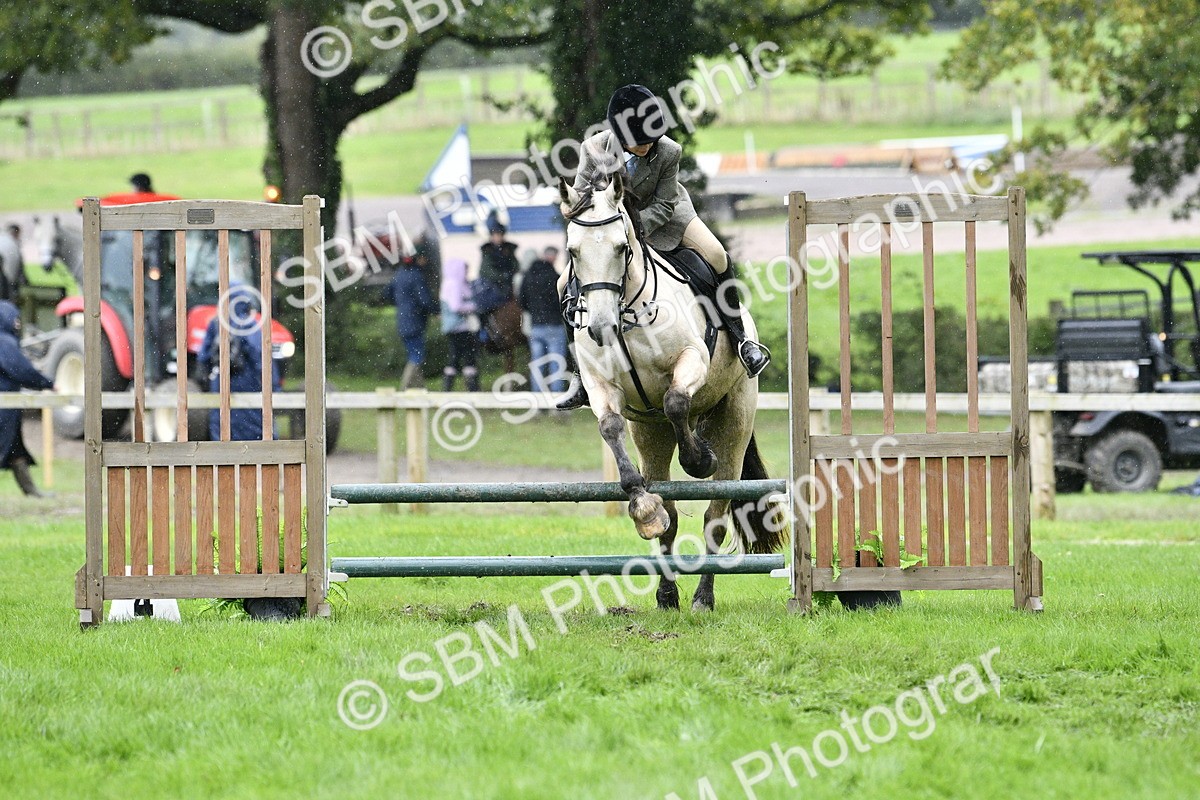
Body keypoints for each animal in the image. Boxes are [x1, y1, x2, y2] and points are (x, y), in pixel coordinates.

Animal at [559, 175, 786, 612]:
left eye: (621, 247)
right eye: (573, 252)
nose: (600, 327)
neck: (627, 311)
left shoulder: (690, 360)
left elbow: (676, 400)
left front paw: (698, 459)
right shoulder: (601, 386)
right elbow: (610, 427)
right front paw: (642, 507)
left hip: (735, 420)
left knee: (716, 515)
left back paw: (702, 598)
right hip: (651, 434)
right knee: (672, 512)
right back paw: (666, 592)